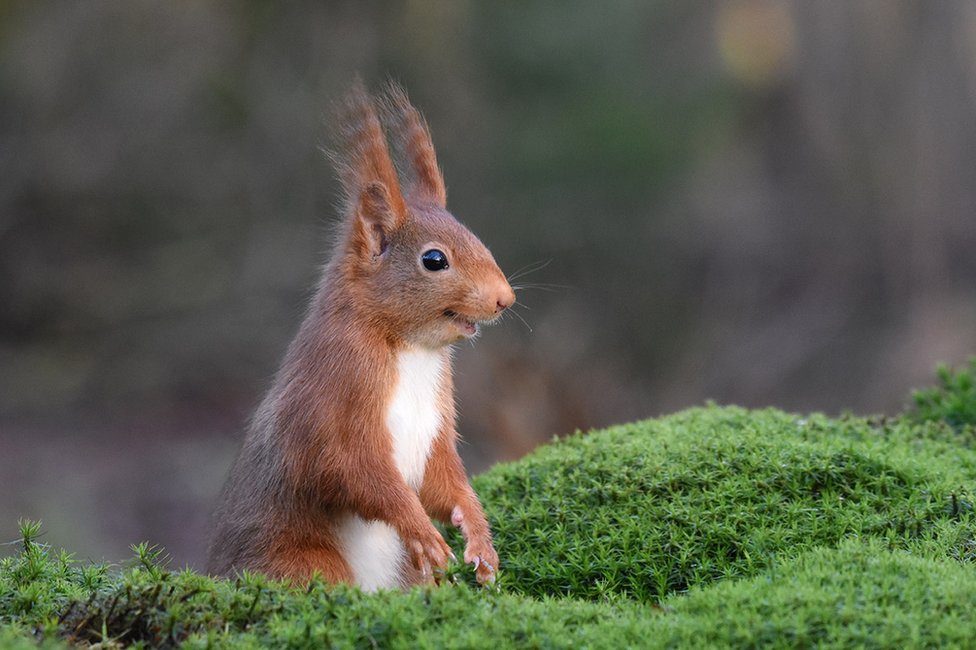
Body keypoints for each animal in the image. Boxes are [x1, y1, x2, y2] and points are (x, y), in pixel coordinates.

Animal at [204, 79, 510, 588]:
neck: (411, 349)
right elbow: (350, 469)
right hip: (303, 562)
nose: (505, 298)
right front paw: (423, 531)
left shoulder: (436, 423)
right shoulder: (334, 394)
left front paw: (480, 539)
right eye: (434, 260)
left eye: (478, 237)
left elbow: (445, 480)